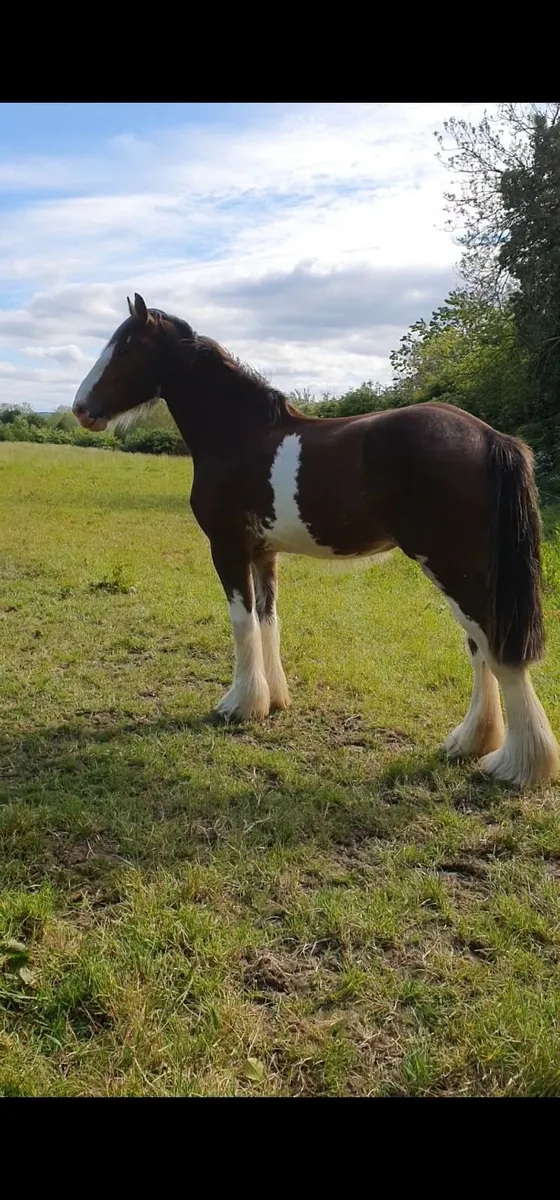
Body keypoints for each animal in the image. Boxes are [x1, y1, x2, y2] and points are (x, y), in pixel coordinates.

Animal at [72, 293, 559, 789]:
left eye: (128, 346)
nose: (81, 408)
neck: (240, 436)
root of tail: (490, 437)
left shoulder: (227, 547)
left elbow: (242, 623)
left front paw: (239, 705)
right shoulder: (264, 553)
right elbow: (267, 619)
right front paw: (272, 700)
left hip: (453, 564)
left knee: (496, 649)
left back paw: (517, 765)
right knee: (480, 647)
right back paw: (470, 743)